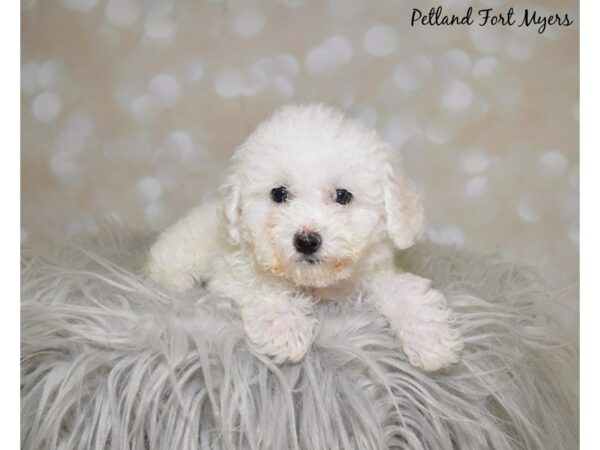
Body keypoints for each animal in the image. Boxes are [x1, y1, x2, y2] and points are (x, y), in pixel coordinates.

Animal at [146, 103, 464, 370]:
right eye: (279, 193)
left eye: (342, 196)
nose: (307, 241)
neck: (315, 285)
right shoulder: (231, 273)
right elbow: (260, 286)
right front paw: (286, 329)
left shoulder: (373, 275)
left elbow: (403, 289)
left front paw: (429, 338)